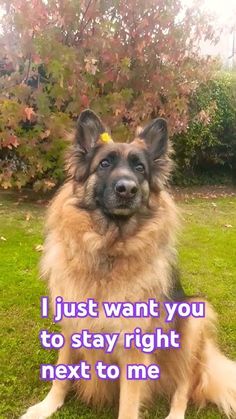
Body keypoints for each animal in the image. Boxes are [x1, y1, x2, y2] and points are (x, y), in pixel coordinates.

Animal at [20, 110, 236, 418]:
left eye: (140, 168)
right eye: (104, 163)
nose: (127, 189)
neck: (109, 252)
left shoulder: (134, 350)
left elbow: (129, 404)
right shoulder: (72, 327)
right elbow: (60, 373)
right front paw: (47, 406)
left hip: (196, 316)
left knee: (184, 385)